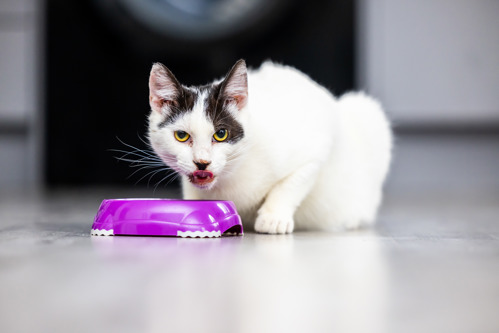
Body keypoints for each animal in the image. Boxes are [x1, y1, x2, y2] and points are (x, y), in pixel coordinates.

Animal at [146, 58, 392, 232]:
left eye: (221, 134)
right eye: (181, 136)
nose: (202, 162)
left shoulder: (317, 145)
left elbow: (292, 183)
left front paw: (273, 217)